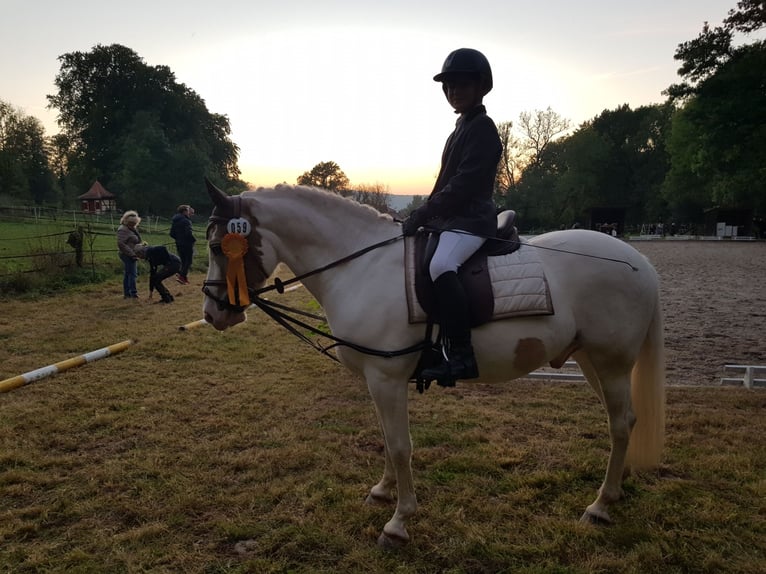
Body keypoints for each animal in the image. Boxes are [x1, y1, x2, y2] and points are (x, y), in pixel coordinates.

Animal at [204, 180, 664, 548]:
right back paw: (615, 491)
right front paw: (382, 492)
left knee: (619, 425)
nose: (212, 314)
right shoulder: (378, 381)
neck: (360, 266)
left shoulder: (386, 379)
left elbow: (401, 446)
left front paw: (398, 522)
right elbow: (387, 440)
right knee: (626, 421)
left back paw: (600, 506)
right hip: (590, 360)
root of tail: (639, 261)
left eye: (216, 246)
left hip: (611, 363)